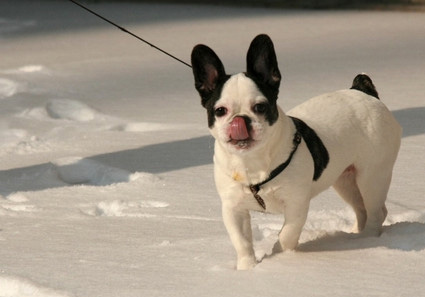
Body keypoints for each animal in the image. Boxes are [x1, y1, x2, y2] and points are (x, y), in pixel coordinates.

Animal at [190, 34, 400, 268]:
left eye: (260, 107)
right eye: (220, 111)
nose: (240, 120)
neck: (252, 161)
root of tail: (364, 92)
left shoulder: (296, 204)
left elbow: (287, 234)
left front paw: (280, 255)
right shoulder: (233, 208)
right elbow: (242, 241)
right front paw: (248, 268)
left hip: (372, 176)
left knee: (375, 210)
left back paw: (366, 240)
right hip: (345, 181)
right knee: (361, 207)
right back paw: (355, 235)